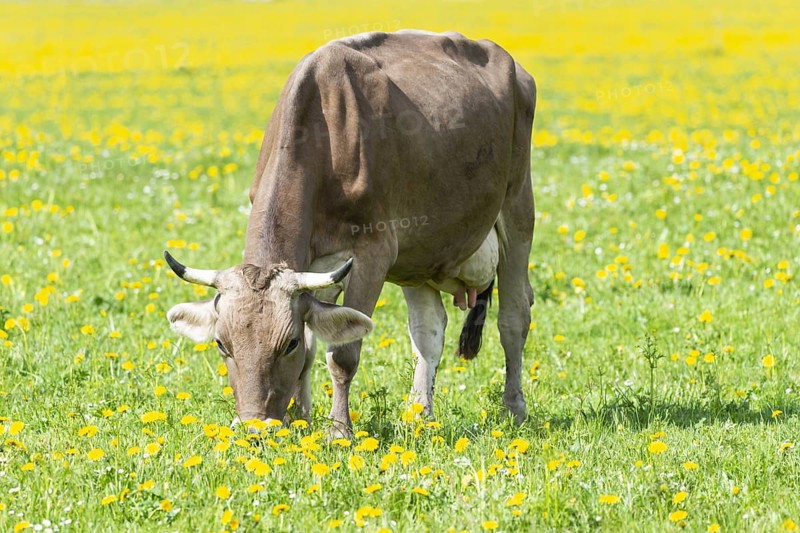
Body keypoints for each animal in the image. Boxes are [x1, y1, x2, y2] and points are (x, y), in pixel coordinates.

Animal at [164, 30, 536, 436]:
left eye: (288, 343)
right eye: (221, 344)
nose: (257, 427)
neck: (324, 130)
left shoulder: (373, 252)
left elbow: (342, 352)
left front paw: (338, 429)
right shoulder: (316, 269)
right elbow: (315, 349)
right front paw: (300, 419)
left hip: (517, 207)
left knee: (514, 317)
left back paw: (514, 410)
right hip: (420, 254)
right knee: (428, 329)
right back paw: (419, 415)